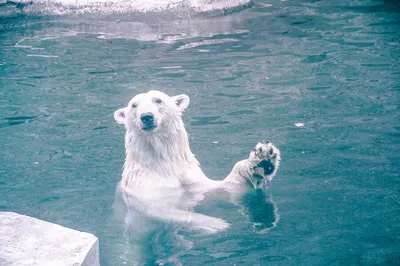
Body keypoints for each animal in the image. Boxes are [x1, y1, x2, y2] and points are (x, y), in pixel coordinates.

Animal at [113, 90, 282, 235]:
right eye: (134, 105)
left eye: (158, 100)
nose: (146, 117)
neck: (164, 164)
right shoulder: (145, 189)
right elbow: (158, 209)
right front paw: (216, 224)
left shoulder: (194, 180)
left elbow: (226, 187)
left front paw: (264, 158)